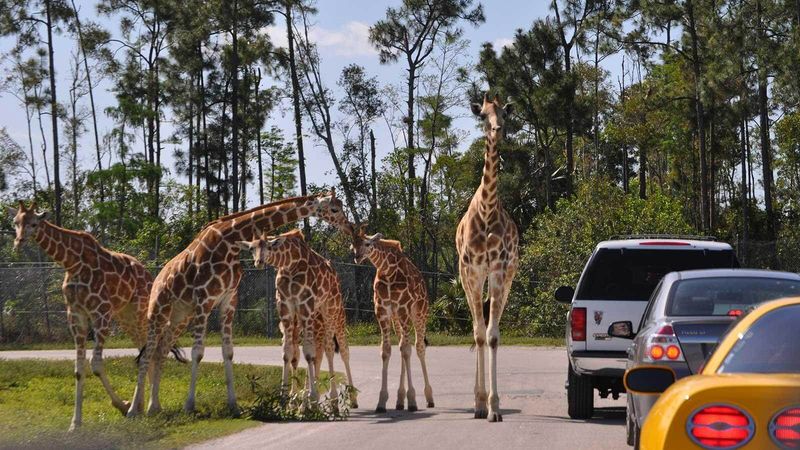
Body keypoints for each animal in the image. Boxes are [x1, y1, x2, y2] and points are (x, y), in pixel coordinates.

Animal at [7, 201, 155, 431]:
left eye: (33, 223)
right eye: (15, 222)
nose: (18, 242)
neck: (72, 263)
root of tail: (147, 273)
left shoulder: (101, 313)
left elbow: (95, 365)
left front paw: (122, 405)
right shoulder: (76, 315)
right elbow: (79, 369)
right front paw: (75, 423)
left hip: (139, 309)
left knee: (147, 352)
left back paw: (137, 409)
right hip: (125, 315)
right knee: (143, 351)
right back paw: (144, 406)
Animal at [237, 229, 357, 407]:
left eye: (269, 247)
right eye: (252, 248)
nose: (259, 262)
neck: (290, 264)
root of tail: (335, 275)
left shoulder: (305, 305)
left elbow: (308, 353)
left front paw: (310, 397)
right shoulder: (286, 308)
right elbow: (288, 353)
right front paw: (285, 398)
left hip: (333, 311)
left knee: (339, 349)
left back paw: (343, 399)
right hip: (315, 318)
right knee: (321, 351)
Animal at [348, 224, 434, 413]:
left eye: (367, 243)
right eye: (353, 245)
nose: (357, 257)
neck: (388, 271)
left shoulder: (403, 308)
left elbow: (407, 350)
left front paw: (413, 400)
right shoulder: (382, 311)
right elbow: (387, 350)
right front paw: (382, 402)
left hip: (419, 313)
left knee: (418, 347)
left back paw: (429, 398)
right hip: (397, 318)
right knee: (403, 346)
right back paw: (400, 400)